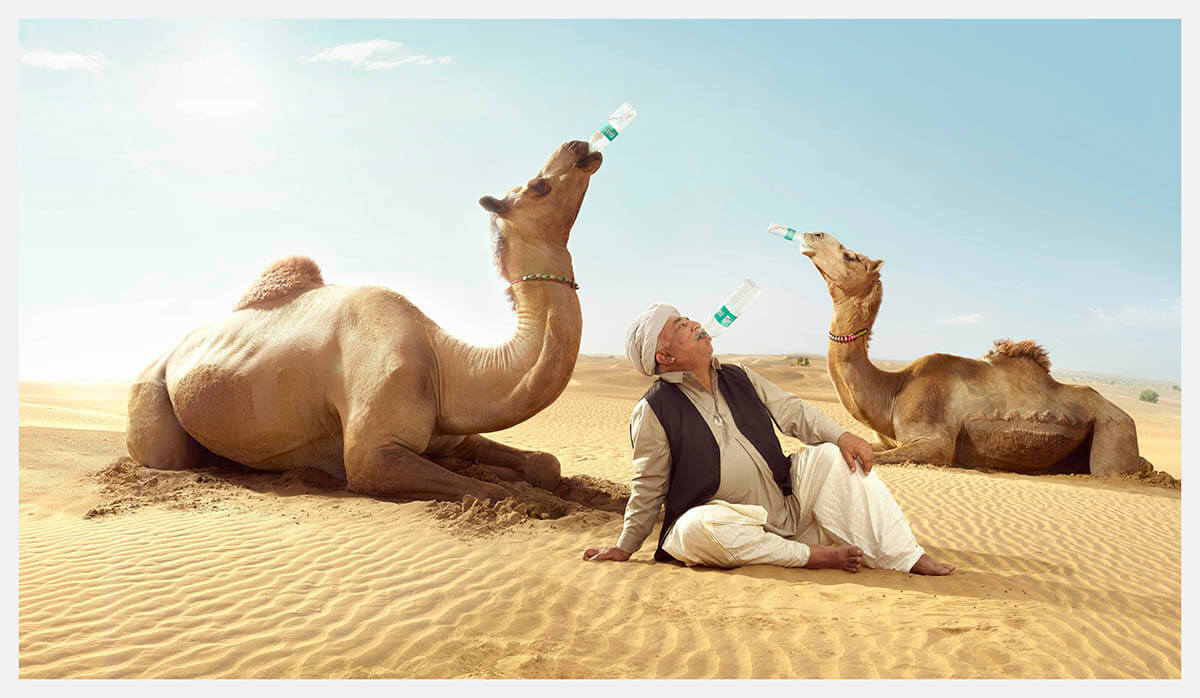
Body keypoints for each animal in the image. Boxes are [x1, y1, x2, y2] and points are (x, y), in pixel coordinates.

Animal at [125, 140, 604, 502]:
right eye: (538, 186)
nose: (579, 145)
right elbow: (502, 492)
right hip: (150, 391)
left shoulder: (454, 430)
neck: (444, 364)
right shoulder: (373, 455)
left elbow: (544, 464)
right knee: (169, 457)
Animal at [799, 232, 1151, 476]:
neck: (891, 390)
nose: (812, 235)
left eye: (849, 256)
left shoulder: (935, 442)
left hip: (1113, 427)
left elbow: (889, 456)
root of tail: (1125, 415)